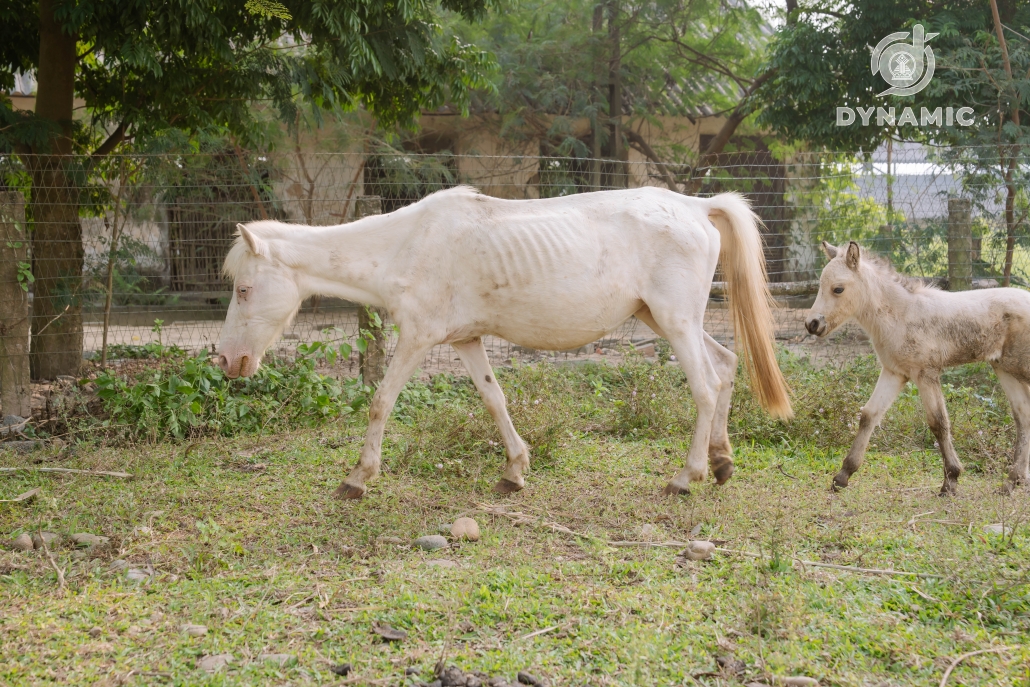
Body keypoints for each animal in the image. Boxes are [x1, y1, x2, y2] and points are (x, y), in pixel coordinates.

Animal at [217, 186, 791, 500]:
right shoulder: (466, 341)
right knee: (726, 366)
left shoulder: (417, 338)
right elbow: (495, 400)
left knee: (705, 387)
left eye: (244, 290)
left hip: (674, 322)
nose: (227, 360)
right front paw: (514, 471)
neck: (406, 246)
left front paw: (357, 478)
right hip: (667, 319)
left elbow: (380, 402)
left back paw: (685, 478)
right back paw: (721, 462)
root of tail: (697, 206)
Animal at [803, 242, 1030, 494]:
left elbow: (938, 422)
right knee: (1024, 415)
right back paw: (1012, 481)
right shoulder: (894, 372)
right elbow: (869, 415)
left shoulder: (925, 373)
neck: (900, 314)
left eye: (838, 289)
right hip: (1005, 369)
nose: (812, 324)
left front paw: (950, 480)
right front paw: (843, 476)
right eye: (821, 286)